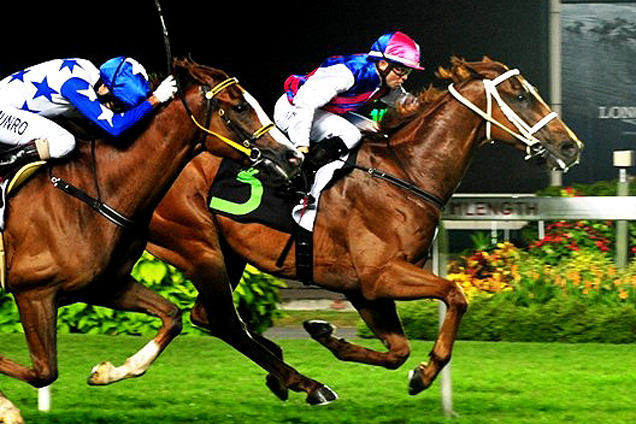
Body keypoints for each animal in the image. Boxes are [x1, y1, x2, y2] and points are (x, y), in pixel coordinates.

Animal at [0, 57, 304, 424]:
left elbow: (172, 316)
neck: (93, 192)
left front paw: (107, 371)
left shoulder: (103, 285)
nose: (292, 157)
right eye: (240, 106)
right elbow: (43, 371)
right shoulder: (33, 292)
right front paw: (8, 409)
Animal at [147, 57, 584, 404]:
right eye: (520, 95)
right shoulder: (381, 275)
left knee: (209, 316)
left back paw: (280, 369)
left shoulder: (364, 290)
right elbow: (455, 295)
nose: (571, 146)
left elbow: (398, 351)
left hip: (228, 253)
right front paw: (426, 372)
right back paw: (303, 381)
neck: (407, 173)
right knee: (222, 319)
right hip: (196, 243)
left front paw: (329, 335)